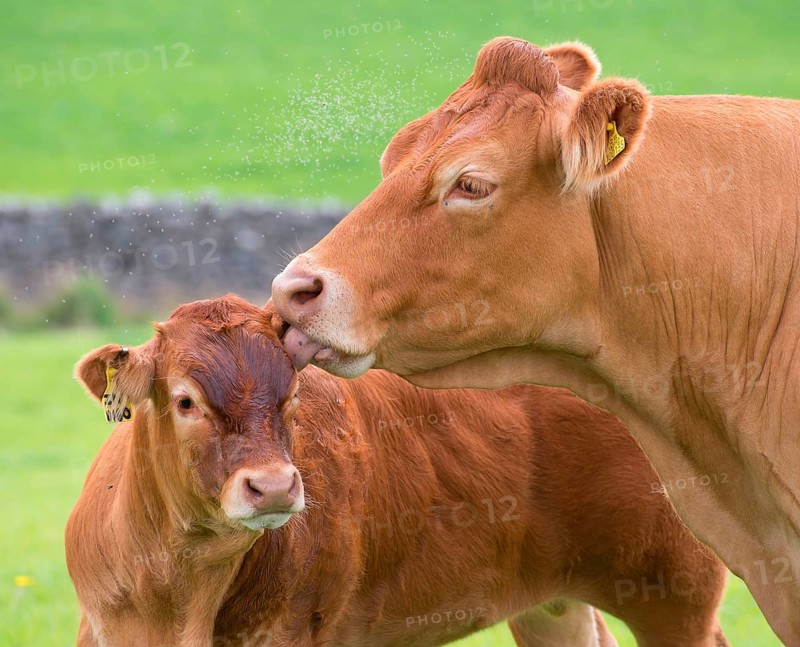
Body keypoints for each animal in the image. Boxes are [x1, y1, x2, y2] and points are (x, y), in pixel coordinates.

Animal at [67, 294, 728, 646]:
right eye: (185, 400)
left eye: (292, 397)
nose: (273, 486)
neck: (175, 593)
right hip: (554, 604)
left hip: (675, 591)